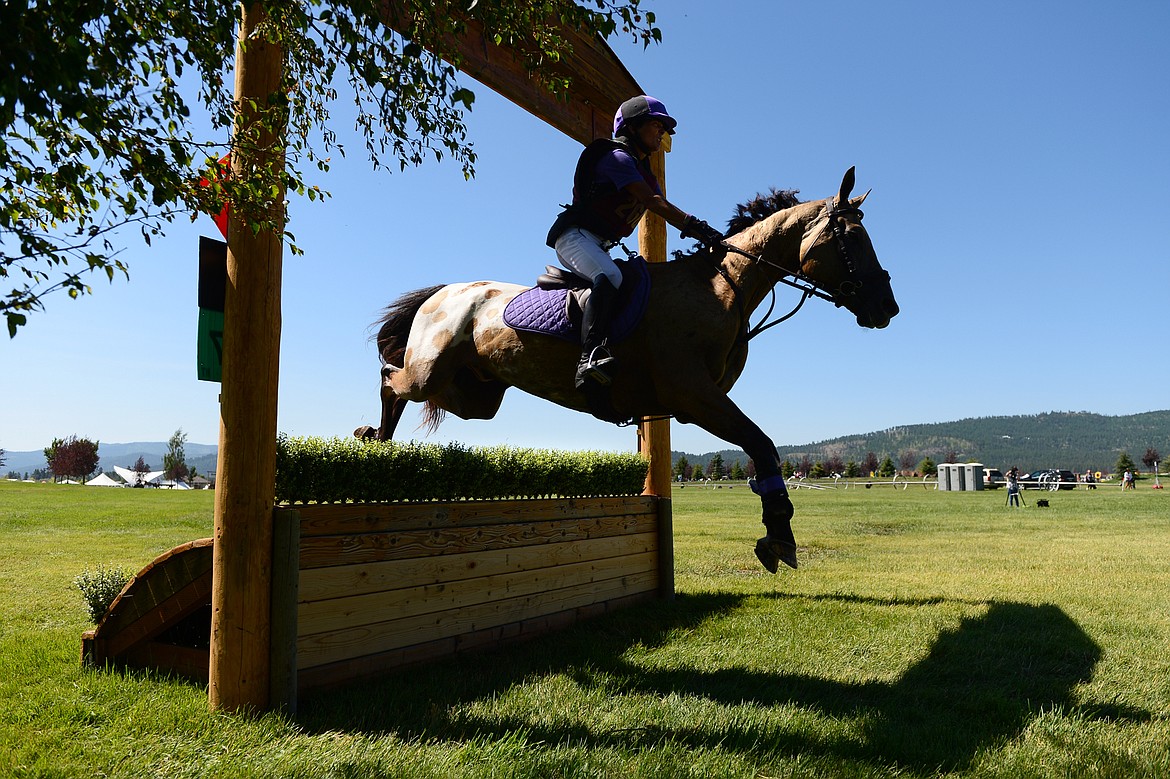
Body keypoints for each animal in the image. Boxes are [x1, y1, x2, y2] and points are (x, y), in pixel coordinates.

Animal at [351, 164, 898, 570]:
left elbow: (762, 448)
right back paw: (372, 439)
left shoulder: (695, 400)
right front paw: (779, 535)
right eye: (852, 238)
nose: (886, 307)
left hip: (476, 394)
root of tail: (443, 291)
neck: (721, 288)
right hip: (432, 371)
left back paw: (378, 443)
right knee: (391, 379)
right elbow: (762, 445)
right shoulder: (694, 396)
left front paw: (778, 532)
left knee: (414, 390)